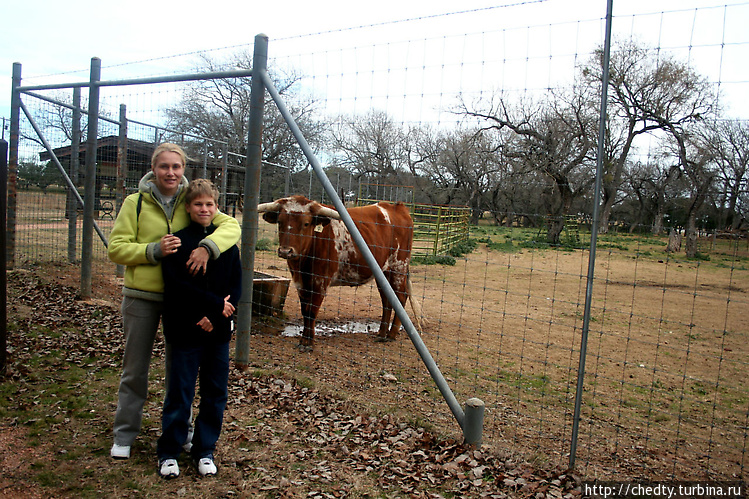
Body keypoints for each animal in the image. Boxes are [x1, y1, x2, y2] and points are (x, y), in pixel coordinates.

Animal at [258, 195, 420, 352]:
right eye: (280, 222)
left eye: (306, 223)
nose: (286, 251)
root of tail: (398, 207)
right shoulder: (301, 283)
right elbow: (305, 311)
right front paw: (304, 340)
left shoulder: (320, 282)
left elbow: (312, 311)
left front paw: (308, 343)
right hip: (383, 272)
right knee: (387, 301)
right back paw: (381, 334)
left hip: (398, 267)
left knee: (401, 297)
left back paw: (391, 335)